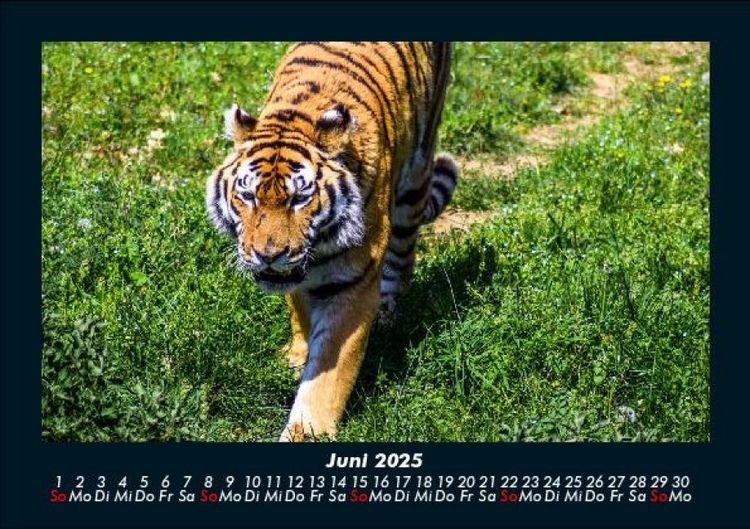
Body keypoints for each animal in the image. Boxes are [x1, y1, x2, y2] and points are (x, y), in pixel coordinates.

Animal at [205, 42, 458, 441]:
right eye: (248, 196)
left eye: (299, 198)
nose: (268, 255)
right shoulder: (297, 275)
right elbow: (300, 311)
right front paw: (298, 353)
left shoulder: (351, 286)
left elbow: (325, 378)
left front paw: (305, 431)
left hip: (415, 176)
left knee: (402, 258)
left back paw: (387, 312)